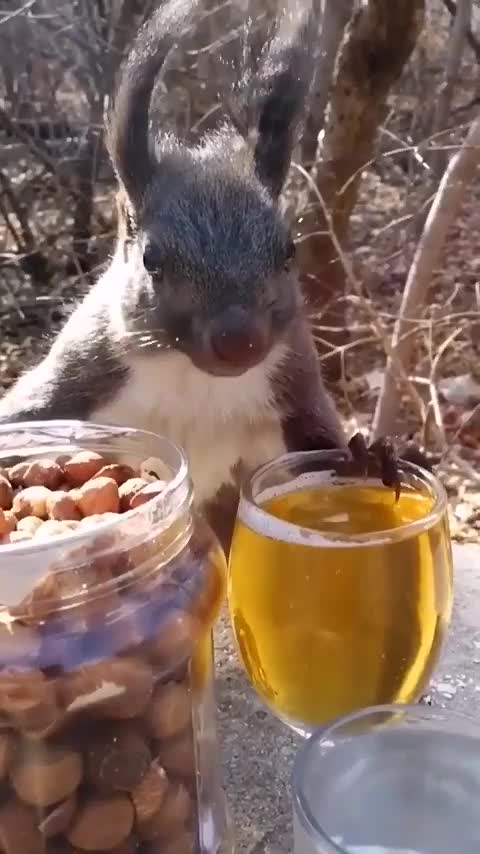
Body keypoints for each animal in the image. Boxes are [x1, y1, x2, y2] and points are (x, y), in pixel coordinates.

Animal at [0, 0, 423, 551]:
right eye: (151, 260)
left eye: (288, 251)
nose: (239, 341)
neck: (191, 378)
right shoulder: (73, 382)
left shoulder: (294, 390)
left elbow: (318, 447)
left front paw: (368, 455)